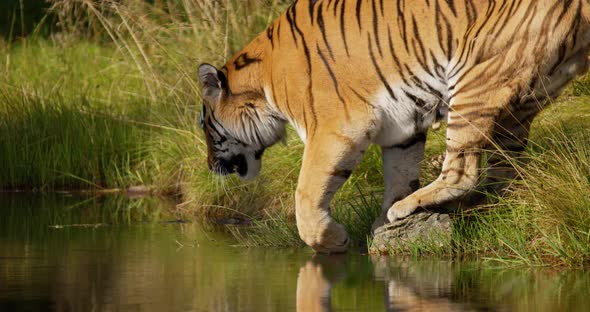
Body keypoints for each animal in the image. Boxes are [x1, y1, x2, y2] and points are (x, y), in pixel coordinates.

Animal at [198, 0, 590, 254]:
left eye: (204, 126)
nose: (209, 166)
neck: (263, 82)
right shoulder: (402, 126)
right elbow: (399, 174)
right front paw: (381, 227)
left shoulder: (335, 127)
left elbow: (305, 195)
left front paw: (333, 240)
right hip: (524, 98)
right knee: (503, 166)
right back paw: (469, 205)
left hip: (476, 74)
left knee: (463, 168)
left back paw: (416, 205)